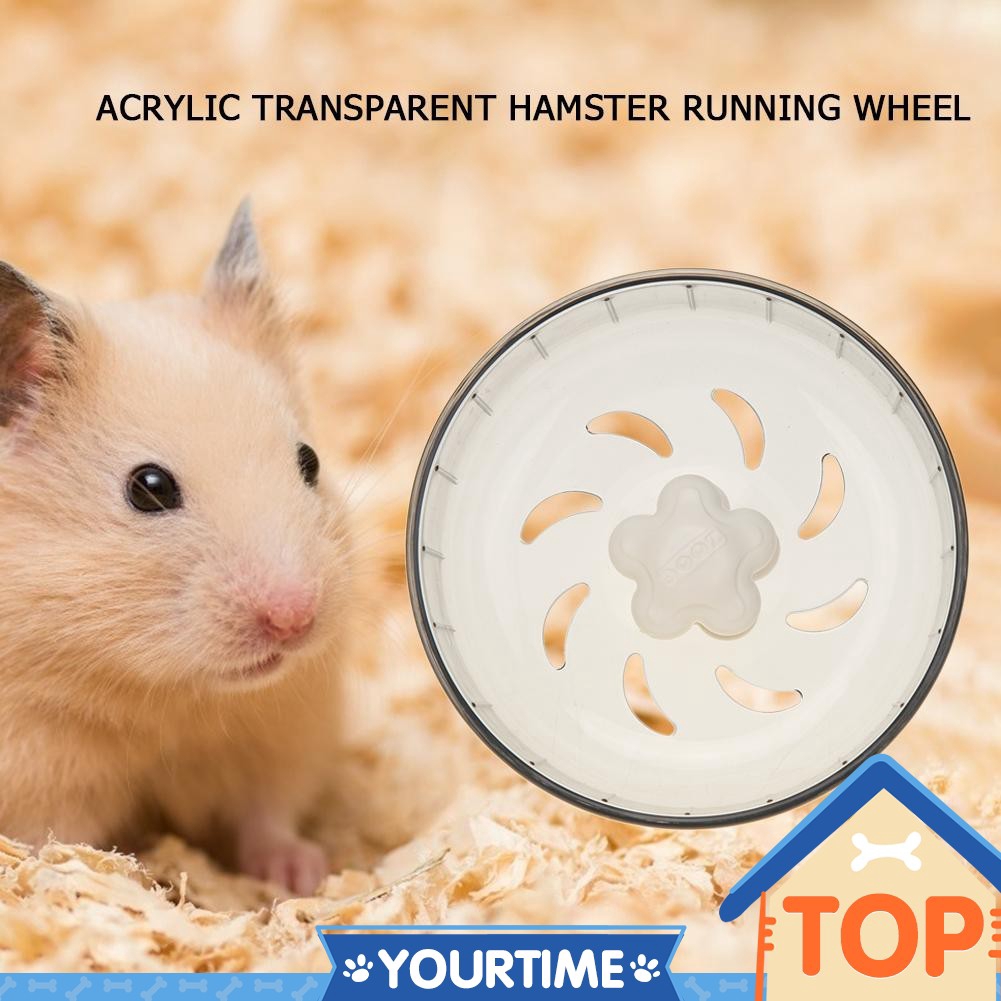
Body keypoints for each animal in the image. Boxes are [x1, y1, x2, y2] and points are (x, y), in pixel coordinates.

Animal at [0, 203, 353, 895]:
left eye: (310, 461)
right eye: (149, 488)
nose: (295, 620)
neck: (174, 698)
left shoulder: (279, 732)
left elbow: (266, 815)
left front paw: (303, 874)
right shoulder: (37, 765)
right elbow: (56, 842)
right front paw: (125, 880)